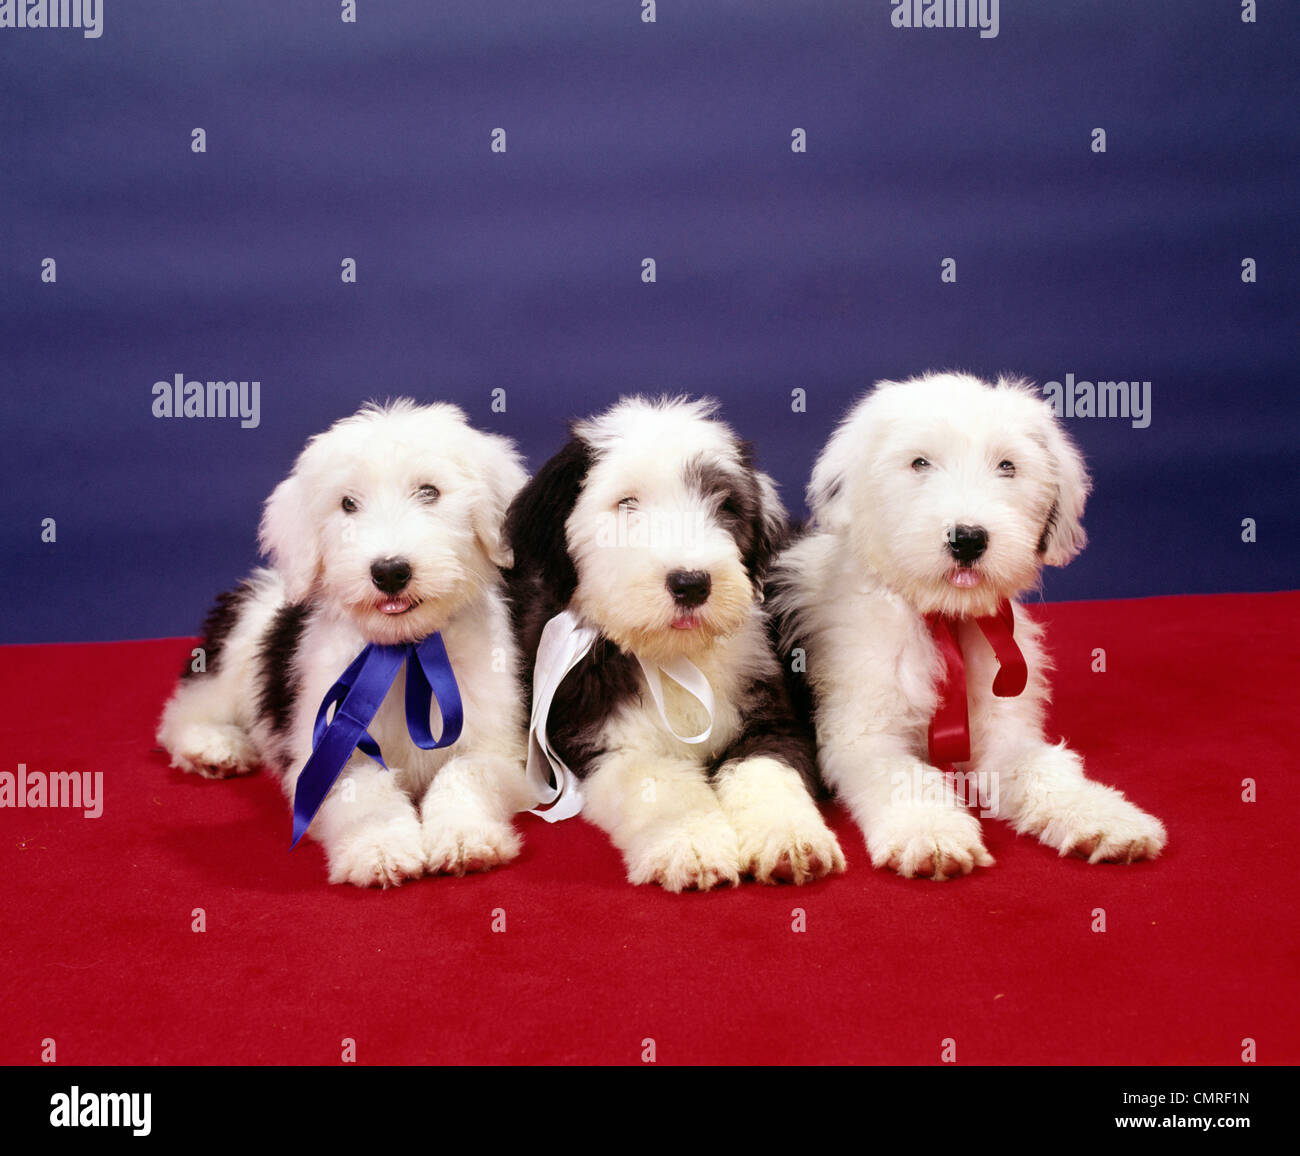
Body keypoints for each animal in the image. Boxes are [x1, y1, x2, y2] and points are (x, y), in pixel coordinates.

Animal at [156, 400, 533, 889]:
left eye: (429, 491)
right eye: (348, 503)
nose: (390, 571)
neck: (405, 652)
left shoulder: (502, 745)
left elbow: (465, 771)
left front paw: (464, 839)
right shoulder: (328, 742)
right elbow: (364, 789)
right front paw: (381, 848)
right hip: (241, 641)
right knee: (184, 711)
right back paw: (214, 747)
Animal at [501, 392, 847, 889]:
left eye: (725, 505)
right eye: (626, 503)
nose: (691, 583)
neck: (673, 658)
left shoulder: (772, 717)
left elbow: (767, 769)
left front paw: (791, 841)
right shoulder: (604, 738)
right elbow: (661, 785)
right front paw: (693, 847)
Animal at [769, 374, 1170, 879]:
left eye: (1007, 465)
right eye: (919, 462)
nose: (967, 539)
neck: (945, 619)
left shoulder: (1005, 729)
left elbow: (1042, 768)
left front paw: (1105, 818)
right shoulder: (863, 735)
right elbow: (906, 778)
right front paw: (933, 836)